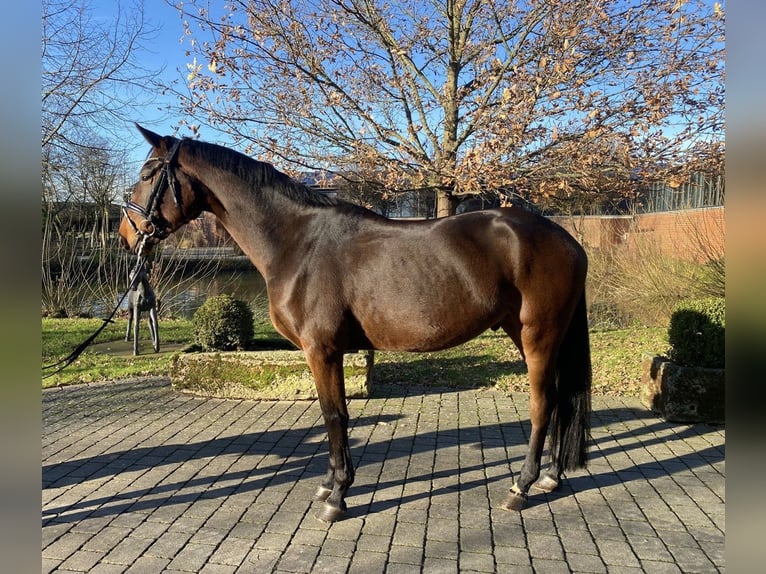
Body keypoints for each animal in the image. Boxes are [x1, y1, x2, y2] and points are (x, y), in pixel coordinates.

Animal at [120, 124, 592, 524]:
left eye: (146, 174)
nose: (127, 234)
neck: (297, 242)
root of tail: (567, 240)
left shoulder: (322, 351)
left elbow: (335, 416)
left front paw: (337, 497)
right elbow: (333, 415)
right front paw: (329, 484)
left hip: (538, 335)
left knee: (543, 404)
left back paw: (522, 486)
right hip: (529, 333)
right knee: (558, 400)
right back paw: (550, 477)